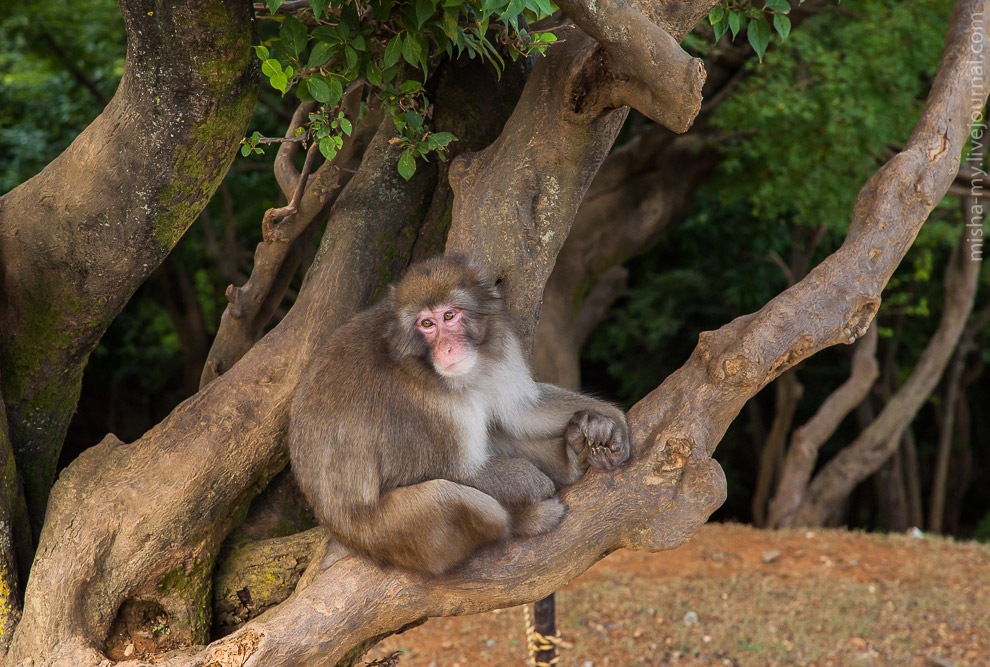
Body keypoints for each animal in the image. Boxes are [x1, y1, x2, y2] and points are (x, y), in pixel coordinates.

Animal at [288, 256, 628, 576]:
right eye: (426, 324)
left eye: (449, 316)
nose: (447, 349)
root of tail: (339, 533)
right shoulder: (425, 406)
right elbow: (458, 472)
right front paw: (535, 482)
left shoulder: (499, 345)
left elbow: (523, 412)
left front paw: (612, 421)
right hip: (385, 535)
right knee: (453, 499)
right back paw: (522, 521)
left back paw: (572, 457)